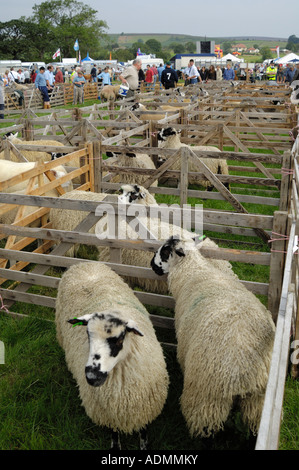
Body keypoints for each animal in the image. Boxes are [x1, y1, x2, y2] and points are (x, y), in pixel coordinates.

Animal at [55, 262, 170, 450]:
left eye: (120, 338)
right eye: (87, 334)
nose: (92, 377)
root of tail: (84, 263)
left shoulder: (144, 409)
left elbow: (143, 433)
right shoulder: (110, 414)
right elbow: (114, 434)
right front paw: (116, 446)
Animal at [151, 237, 276, 438]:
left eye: (165, 251)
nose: (151, 264)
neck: (195, 272)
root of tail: (247, 371)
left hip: (208, 395)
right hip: (259, 400)